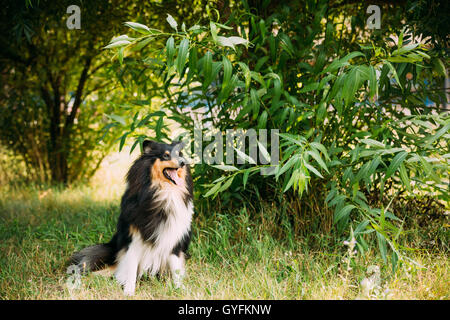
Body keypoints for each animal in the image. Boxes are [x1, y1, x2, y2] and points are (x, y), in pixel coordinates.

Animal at [69, 140, 192, 296]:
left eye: (179, 154)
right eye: (165, 156)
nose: (183, 162)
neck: (163, 194)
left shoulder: (173, 241)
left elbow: (176, 269)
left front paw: (180, 288)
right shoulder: (133, 241)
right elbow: (131, 269)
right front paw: (129, 291)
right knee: (96, 273)